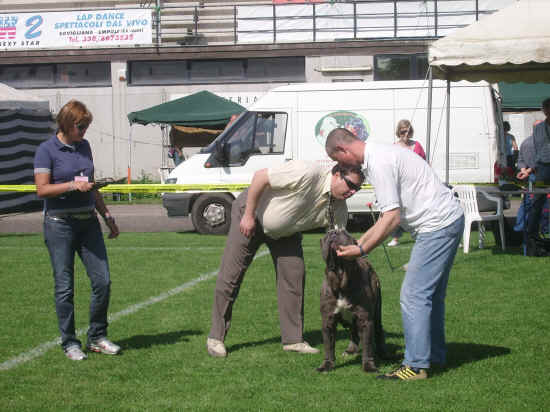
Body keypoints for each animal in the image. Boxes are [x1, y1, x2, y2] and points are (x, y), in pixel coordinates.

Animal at [316, 229, 386, 374]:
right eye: (326, 234)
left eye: (345, 233)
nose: (333, 233)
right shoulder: (328, 320)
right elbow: (328, 346)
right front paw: (327, 364)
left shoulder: (365, 319)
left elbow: (367, 345)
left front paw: (369, 366)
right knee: (353, 332)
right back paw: (350, 350)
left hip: (376, 312)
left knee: (378, 329)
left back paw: (383, 353)